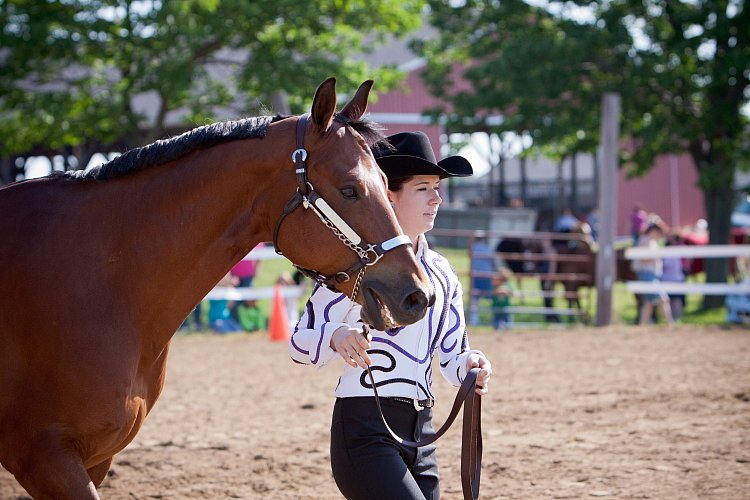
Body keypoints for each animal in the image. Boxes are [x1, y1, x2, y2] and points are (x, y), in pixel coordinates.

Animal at [0, 76, 434, 498]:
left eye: (385, 181)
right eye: (349, 189)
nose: (418, 295)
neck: (102, 279)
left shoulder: (96, 459)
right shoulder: (46, 458)